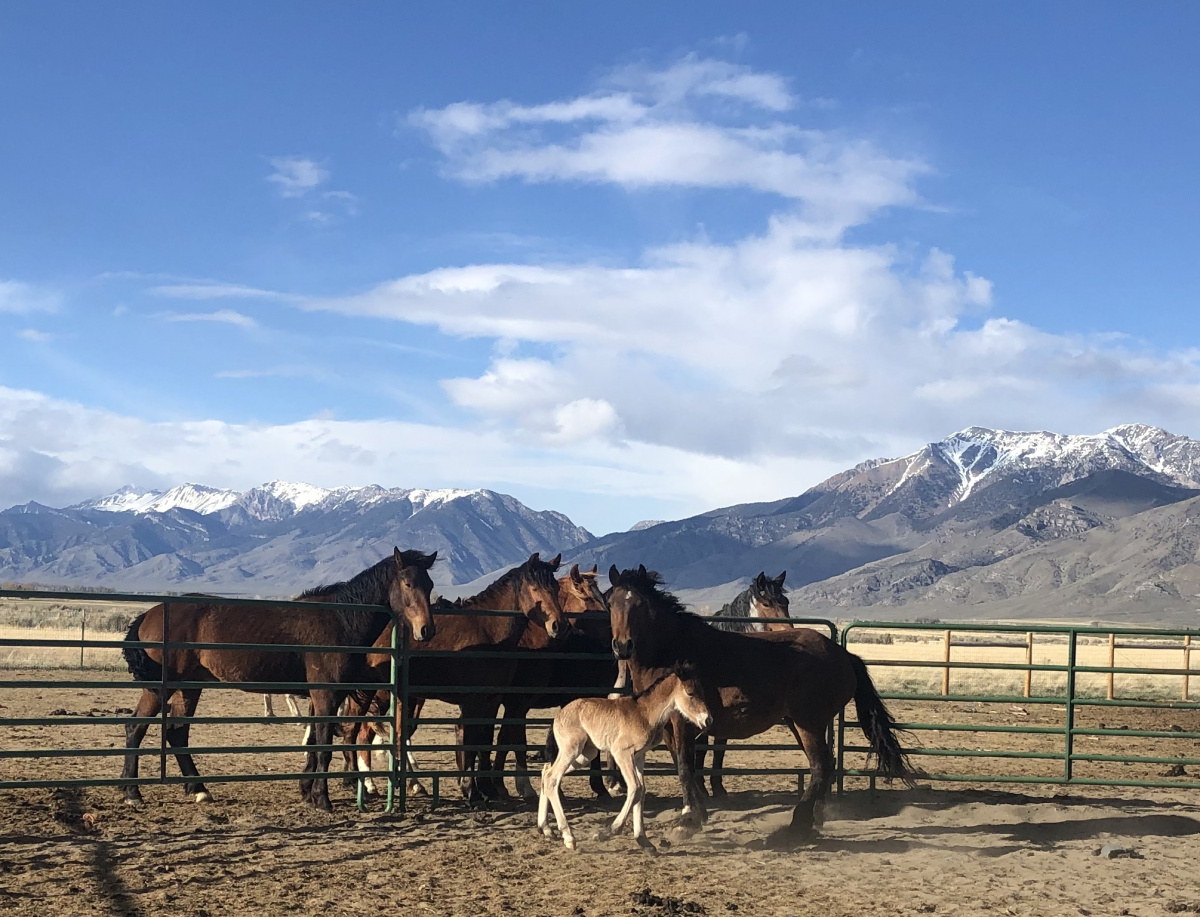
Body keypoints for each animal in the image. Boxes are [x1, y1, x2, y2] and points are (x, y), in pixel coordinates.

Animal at [120, 547, 436, 806]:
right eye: (408, 583)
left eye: (430, 585)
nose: (426, 630)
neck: (340, 619)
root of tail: (149, 614)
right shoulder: (327, 694)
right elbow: (323, 747)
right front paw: (322, 799)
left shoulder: (319, 697)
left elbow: (314, 744)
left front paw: (307, 791)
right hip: (161, 688)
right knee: (137, 727)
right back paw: (133, 793)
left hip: (188, 687)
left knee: (175, 732)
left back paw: (197, 789)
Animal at [340, 552, 564, 801]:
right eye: (535, 588)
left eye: (555, 587)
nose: (558, 625)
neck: (489, 631)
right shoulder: (473, 701)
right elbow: (469, 742)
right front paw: (470, 790)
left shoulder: (492, 700)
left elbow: (485, 740)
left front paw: (486, 789)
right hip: (373, 694)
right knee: (357, 732)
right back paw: (363, 785)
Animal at [537, 667, 710, 854]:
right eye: (690, 692)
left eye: (702, 690)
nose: (707, 719)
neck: (645, 713)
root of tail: (558, 716)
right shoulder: (621, 752)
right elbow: (635, 787)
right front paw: (607, 833)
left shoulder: (639, 756)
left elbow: (641, 790)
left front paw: (643, 840)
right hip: (572, 750)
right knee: (552, 778)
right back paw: (568, 837)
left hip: (586, 754)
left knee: (546, 771)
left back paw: (545, 829)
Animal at [604, 566, 912, 844]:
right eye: (611, 602)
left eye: (640, 604)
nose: (622, 646)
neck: (672, 653)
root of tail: (845, 655)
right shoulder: (669, 727)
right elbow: (685, 766)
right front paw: (698, 814)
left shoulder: (684, 724)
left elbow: (684, 766)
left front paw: (687, 822)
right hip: (801, 723)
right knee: (823, 765)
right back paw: (813, 819)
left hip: (808, 723)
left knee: (820, 766)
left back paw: (797, 825)